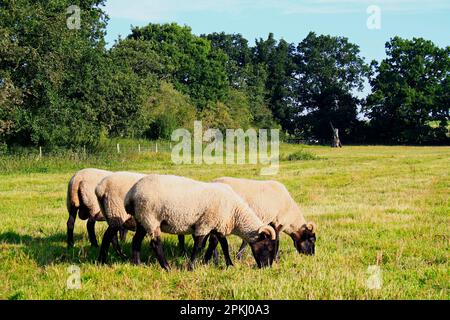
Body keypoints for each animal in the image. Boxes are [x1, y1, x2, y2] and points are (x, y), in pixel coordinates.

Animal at [124, 175, 278, 270]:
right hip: (150, 216)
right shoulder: (205, 224)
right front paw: (191, 267)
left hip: (141, 219)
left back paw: (137, 264)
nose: (267, 267)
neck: (235, 213)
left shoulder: (218, 225)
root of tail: (131, 194)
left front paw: (228, 264)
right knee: (156, 244)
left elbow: (223, 245)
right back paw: (167, 268)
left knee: (136, 240)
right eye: (268, 247)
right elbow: (198, 246)